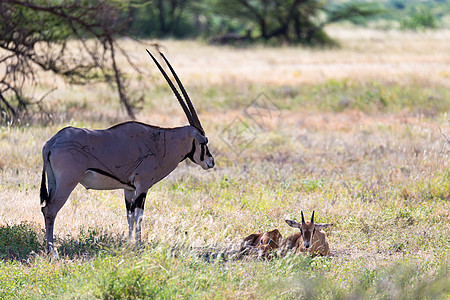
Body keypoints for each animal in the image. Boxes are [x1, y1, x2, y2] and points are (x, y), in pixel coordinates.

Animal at [39, 50, 214, 254]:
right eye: (203, 141)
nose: (211, 162)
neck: (161, 142)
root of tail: (52, 143)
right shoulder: (142, 185)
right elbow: (139, 215)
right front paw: (138, 246)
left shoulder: (128, 189)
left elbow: (129, 215)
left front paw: (129, 243)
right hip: (67, 182)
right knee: (50, 210)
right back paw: (52, 251)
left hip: (54, 181)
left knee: (46, 208)